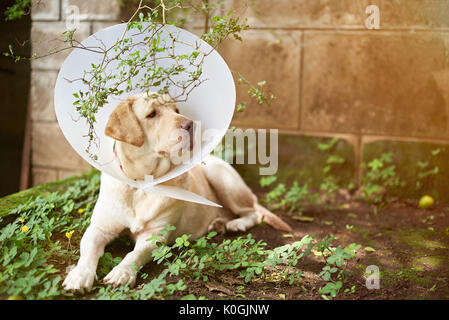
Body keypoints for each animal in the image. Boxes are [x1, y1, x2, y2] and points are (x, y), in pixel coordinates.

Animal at [62, 92, 290, 292]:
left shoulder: (154, 236)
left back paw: (236, 223)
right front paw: (79, 275)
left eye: (176, 110)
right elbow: (87, 250)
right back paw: (218, 223)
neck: (141, 184)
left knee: (253, 212)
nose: (190, 125)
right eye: (152, 114)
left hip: (220, 175)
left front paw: (122, 272)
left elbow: (134, 255)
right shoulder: (99, 228)